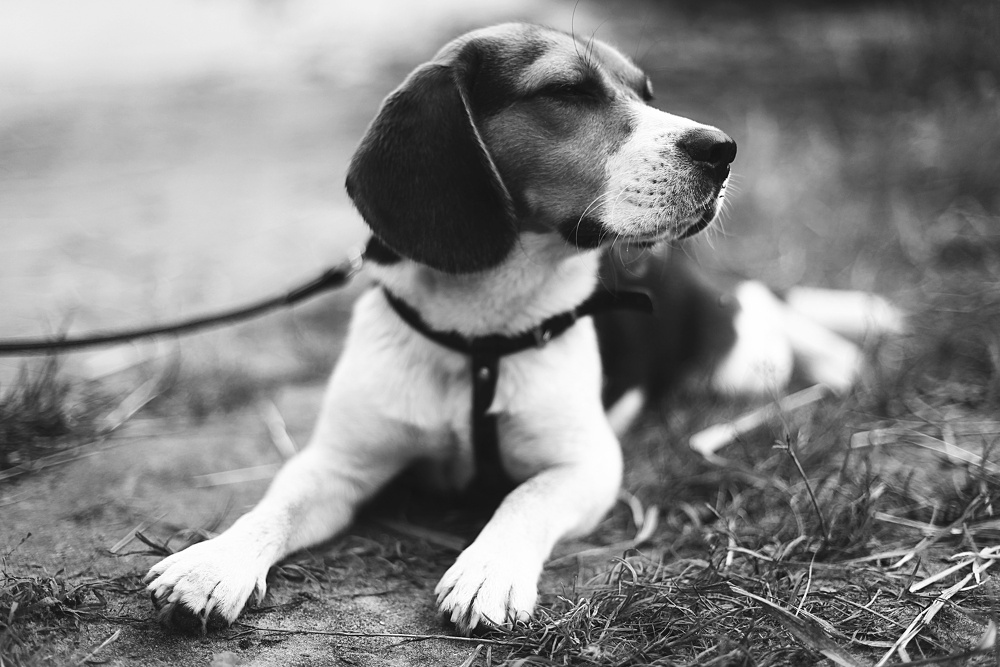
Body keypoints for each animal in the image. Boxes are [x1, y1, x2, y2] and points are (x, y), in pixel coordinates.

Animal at [144, 22, 899, 635]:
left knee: (761, 307)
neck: (480, 333)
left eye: (646, 90)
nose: (722, 149)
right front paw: (213, 563)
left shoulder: (588, 464)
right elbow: (274, 505)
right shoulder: (338, 462)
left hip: (741, 361)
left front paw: (488, 570)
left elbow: (522, 497)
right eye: (567, 91)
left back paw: (836, 358)